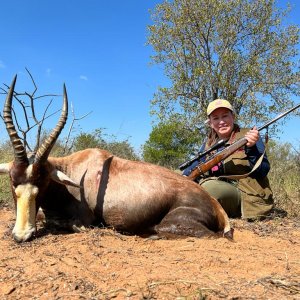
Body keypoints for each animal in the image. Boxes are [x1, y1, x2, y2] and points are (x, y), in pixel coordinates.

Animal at [0, 76, 233, 243]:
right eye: (12, 181)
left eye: (43, 182)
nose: (21, 235)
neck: (76, 169)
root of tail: (214, 204)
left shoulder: (83, 219)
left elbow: (68, 223)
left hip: (175, 224)